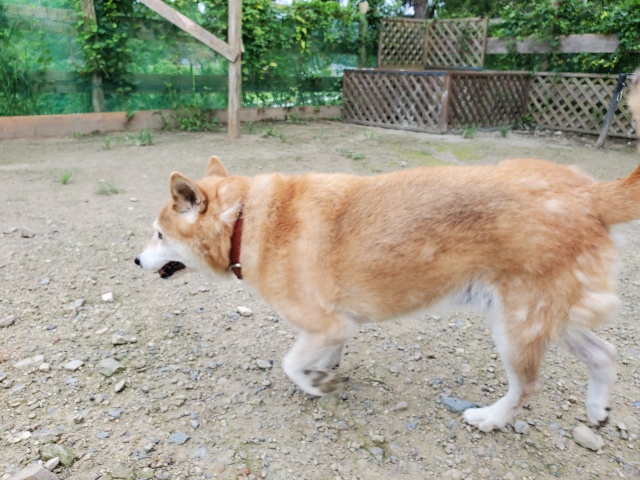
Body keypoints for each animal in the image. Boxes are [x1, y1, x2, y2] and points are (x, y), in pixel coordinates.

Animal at [136, 73, 640, 433]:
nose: (136, 261)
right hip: (549, 316)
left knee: (529, 385)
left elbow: (291, 362)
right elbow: (318, 356)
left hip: (516, 323)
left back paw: (490, 418)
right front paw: (324, 373)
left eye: (158, 234)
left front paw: (316, 383)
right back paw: (597, 410)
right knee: (605, 353)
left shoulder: (326, 323)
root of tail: (590, 192)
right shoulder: (336, 326)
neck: (245, 220)